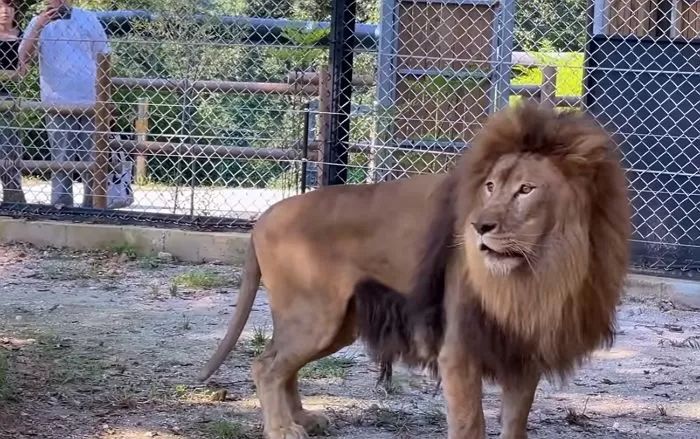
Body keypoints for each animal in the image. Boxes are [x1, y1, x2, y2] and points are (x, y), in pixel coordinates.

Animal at [197, 100, 628, 439]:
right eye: (490, 186)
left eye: (526, 190)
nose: (479, 226)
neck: (540, 271)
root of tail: (262, 218)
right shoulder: (459, 349)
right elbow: (470, 424)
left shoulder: (524, 352)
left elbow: (515, 424)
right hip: (314, 317)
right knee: (266, 366)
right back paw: (283, 428)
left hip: (336, 325)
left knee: (282, 364)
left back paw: (302, 418)